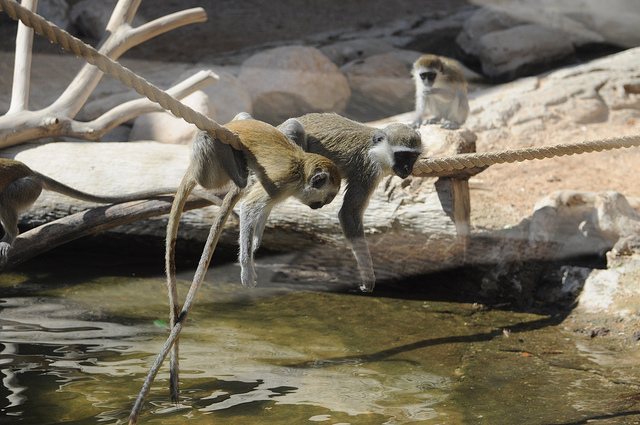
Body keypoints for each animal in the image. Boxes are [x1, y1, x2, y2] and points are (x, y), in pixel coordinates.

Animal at [164, 113, 341, 403]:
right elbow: (250, 207)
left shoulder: (281, 189)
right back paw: (239, 177)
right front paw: (247, 267)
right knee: (209, 146)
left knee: (292, 125)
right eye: (327, 197)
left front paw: (256, 240)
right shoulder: (282, 184)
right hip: (209, 166)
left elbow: (263, 208)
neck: (301, 170)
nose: (321, 206)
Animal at [295, 113, 423, 293]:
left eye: (412, 156)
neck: (375, 148)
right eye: (401, 155)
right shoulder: (368, 169)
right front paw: (367, 272)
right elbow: (349, 212)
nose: (407, 169)